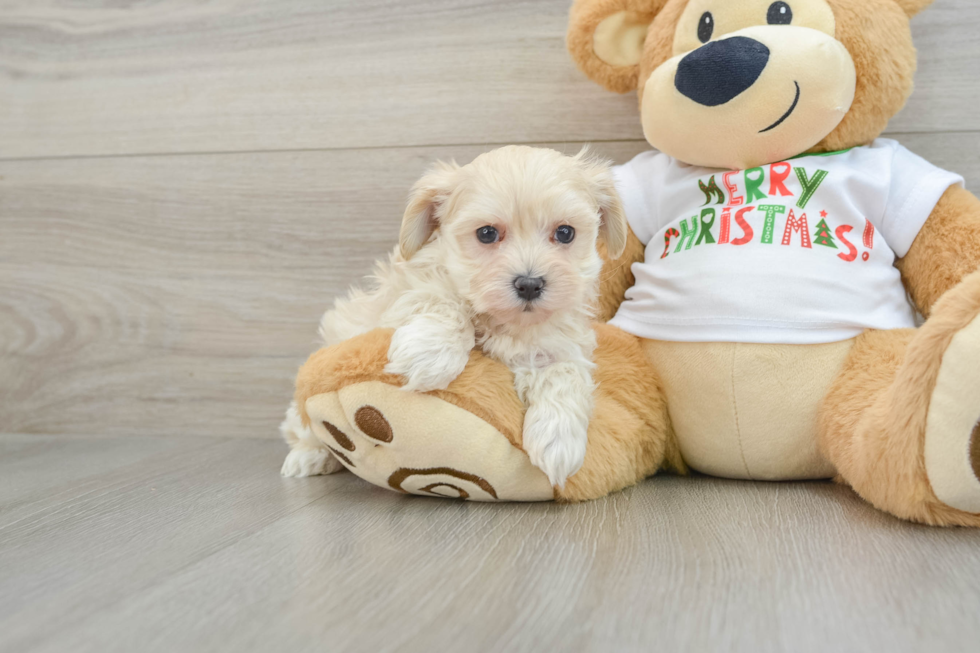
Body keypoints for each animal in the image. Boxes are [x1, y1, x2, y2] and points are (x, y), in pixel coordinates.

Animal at [280, 145, 628, 486]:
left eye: (565, 233)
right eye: (486, 234)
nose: (529, 284)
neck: (505, 322)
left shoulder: (560, 341)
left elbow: (563, 371)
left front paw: (559, 439)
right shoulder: (403, 295)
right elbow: (442, 298)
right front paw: (431, 353)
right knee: (302, 424)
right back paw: (308, 457)